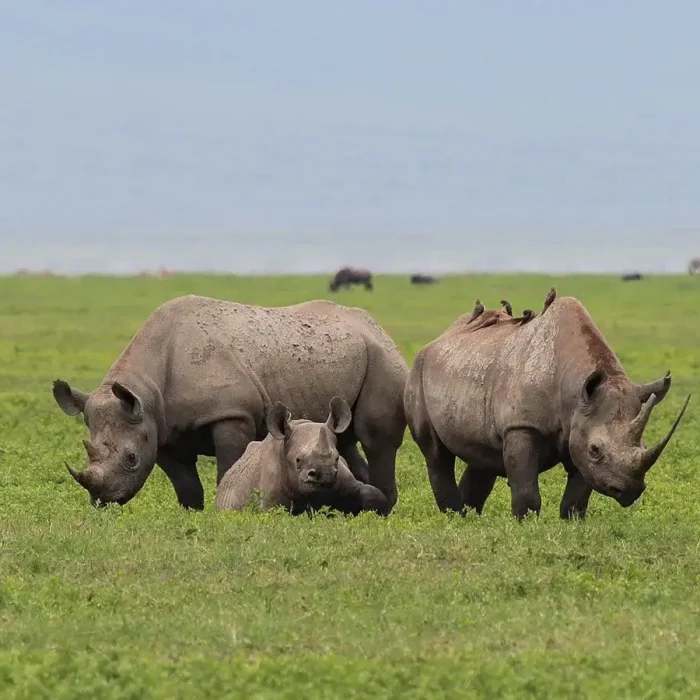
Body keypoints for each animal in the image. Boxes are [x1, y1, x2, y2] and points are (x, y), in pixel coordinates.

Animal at [404, 290, 690, 520]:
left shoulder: (579, 426)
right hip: (418, 371)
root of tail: (439, 338)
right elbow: (526, 488)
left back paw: (469, 519)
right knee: (436, 454)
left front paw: (572, 525)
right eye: (596, 450)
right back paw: (454, 517)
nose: (629, 491)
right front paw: (527, 525)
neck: (574, 389)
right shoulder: (522, 426)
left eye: (643, 444)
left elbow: (577, 496)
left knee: (482, 456)